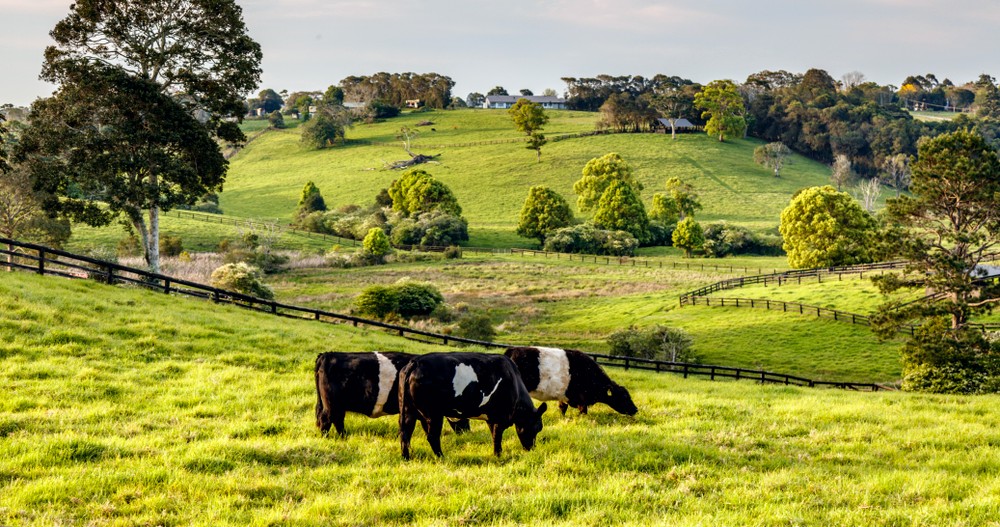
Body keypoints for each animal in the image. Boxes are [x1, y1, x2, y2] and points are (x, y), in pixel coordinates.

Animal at [312, 352, 468, 440]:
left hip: (337, 405)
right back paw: (326, 438)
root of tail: (327, 355)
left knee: (337, 420)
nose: (467, 430)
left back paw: (343, 437)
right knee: (326, 420)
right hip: (331, 404)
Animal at [396, 352, 548, 460]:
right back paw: (442, 457)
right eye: (538, 428)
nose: (531, 448)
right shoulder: (500, 417)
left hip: (409, 410)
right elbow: (497, 436)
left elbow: (494, 435)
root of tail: (416, 361)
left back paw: (406, 458)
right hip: (433, 413)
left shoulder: (491, 418)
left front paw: (497, 454)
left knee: (406, 433)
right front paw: (498, 455)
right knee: (432, 436)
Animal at [504, 346, 636, 416]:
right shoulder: (582, 399)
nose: (635, 409)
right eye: (624, 397)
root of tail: (512, 349)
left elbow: (563, 408)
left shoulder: (563, 396)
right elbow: (583, 411)